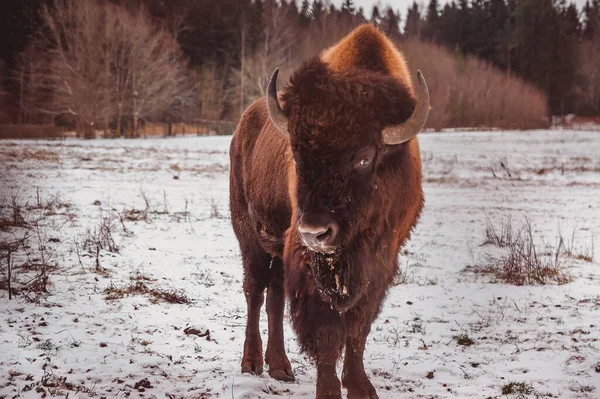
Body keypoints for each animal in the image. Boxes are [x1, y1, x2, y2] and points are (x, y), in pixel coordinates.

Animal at [227, 24, 428, 399]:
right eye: (296, 153)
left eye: (364, 158)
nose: (315, 232)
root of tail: (242, 127)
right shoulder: (308, 265)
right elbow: (328, 330)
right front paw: (330, 389)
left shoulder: (380, 263)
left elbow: (359, 327)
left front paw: (360, 385)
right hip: (249, 235)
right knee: (255, 291)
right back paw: (252, 362)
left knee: (275, 294)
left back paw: (281, 366)